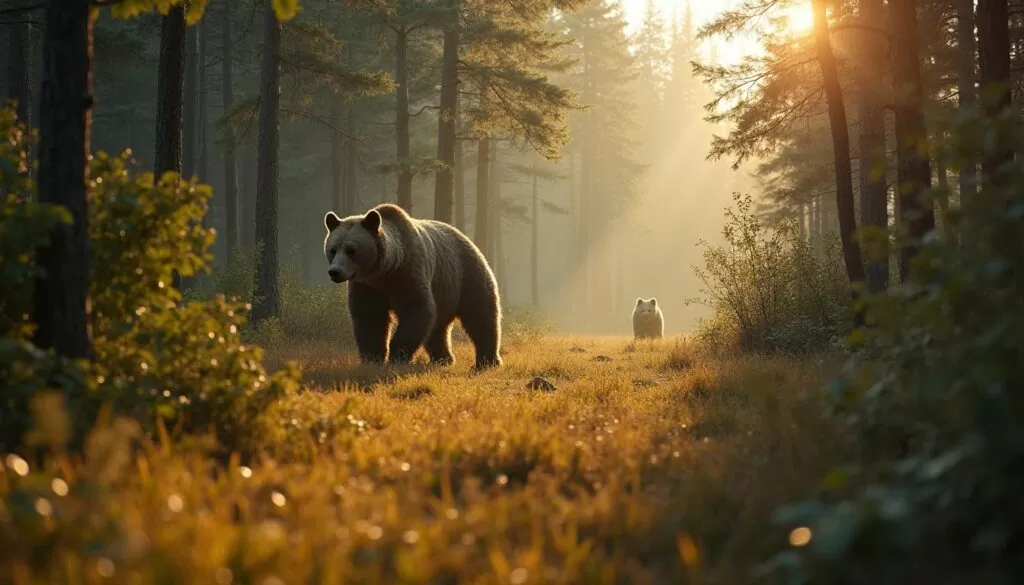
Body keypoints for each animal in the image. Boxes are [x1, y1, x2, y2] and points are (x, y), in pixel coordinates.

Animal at [322, 203, 503, 369]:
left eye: (351, 250)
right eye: (333, 249)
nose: (335, 272)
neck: (384, 272)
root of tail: (466, 238)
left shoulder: (408, 273)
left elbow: (416, 309)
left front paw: (397, 357)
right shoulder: (367, 286)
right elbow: (370, 317)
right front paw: (372, 359)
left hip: (466, 274)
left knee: (481, 315)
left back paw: (487, 361)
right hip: (444, 291)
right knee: (438, 327)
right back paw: (443, 359)